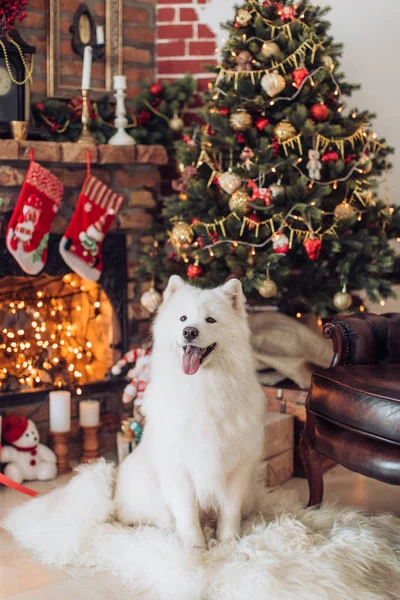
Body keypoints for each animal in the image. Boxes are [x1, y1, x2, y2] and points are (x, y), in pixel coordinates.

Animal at [115, 276, 266, 548]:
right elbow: (187, 513)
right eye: (183, 318)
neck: (202, 385)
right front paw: (195, 547)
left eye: (210, 320)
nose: (189, 332)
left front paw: (228, 543)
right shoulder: (178, 469)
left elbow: (229, 511)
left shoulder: (236, 469)